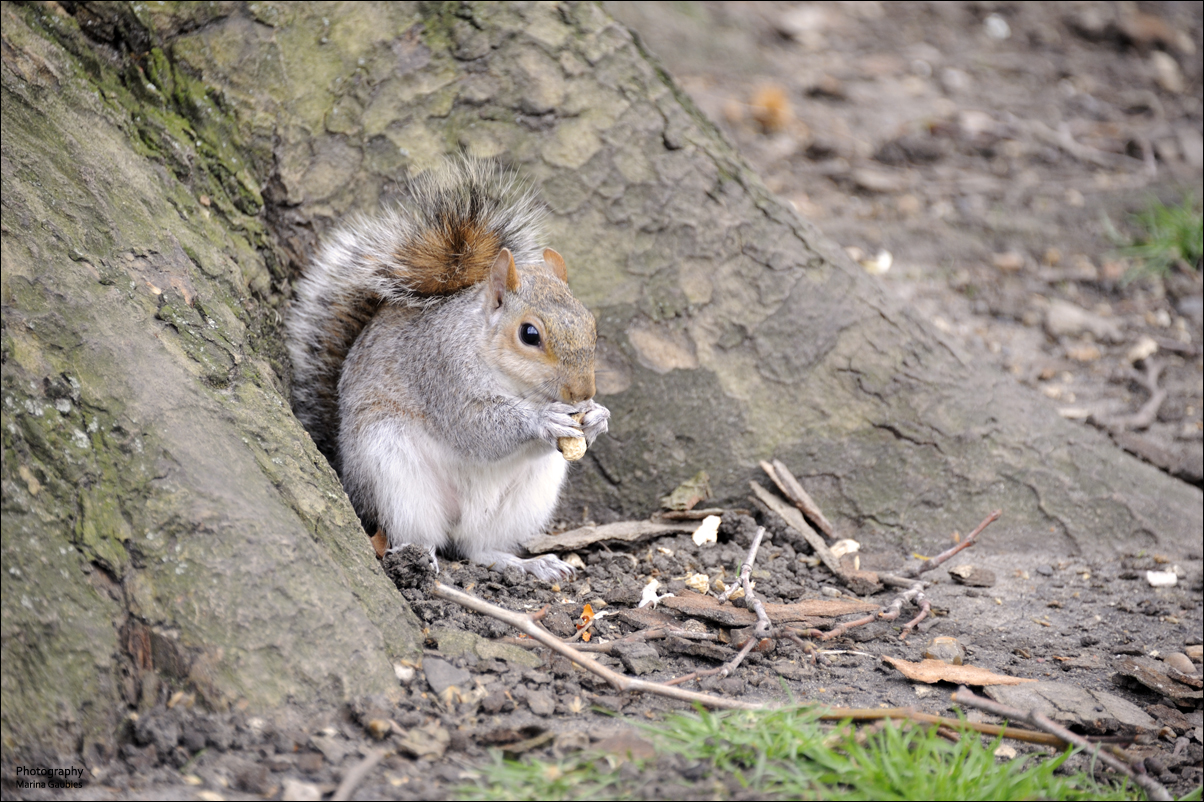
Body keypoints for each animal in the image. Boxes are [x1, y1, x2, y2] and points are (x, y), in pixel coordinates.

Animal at [288, 157, 611, 580]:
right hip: (396, 475)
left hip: (523, 501)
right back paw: (419, 557)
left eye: (592, 324)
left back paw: (529, 564)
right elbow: (473, 426)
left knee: (477, 548)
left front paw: (598, 418)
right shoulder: (441, 370)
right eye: (529, 334)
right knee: (416, 534)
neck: (514, 383)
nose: (582, 392)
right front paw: (542, 420)